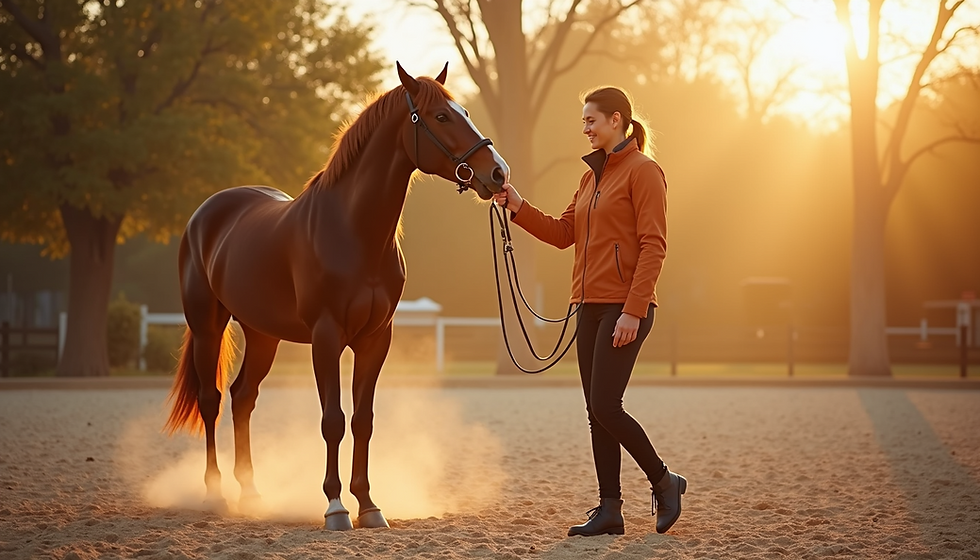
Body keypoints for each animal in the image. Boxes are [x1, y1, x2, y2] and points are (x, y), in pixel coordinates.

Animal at [164, 62, 509, 530]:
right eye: (441, 117)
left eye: (465, 112)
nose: (498, 173)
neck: (353, 230)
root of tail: (207, 212)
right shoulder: (326, 338)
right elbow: (333, 420)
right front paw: (335, 506)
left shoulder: (375, 339)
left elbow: (363, 420)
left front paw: (369, 505)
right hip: (206, 327)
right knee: (211, 401)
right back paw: (215, 494)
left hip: (262, 334)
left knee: (243, 398)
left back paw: (251, 493)